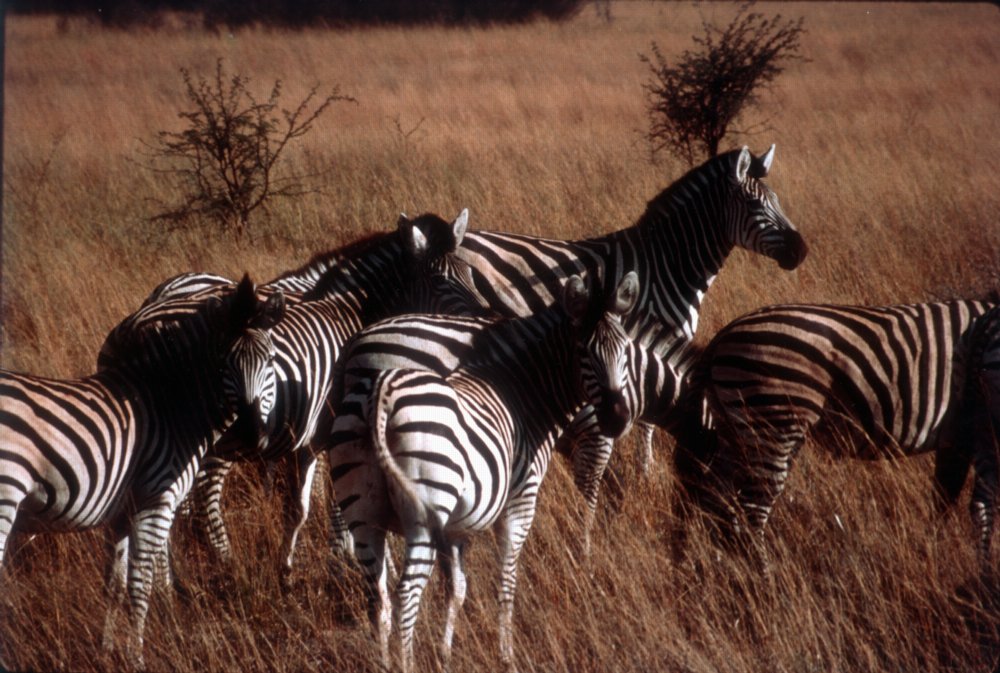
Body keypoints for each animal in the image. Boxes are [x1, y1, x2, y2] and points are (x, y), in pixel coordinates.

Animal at [1, 275, 284, 668]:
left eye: (269, 360)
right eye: (224, 363)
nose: (250, 433)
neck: (171, 406)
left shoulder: (122, 511)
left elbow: (115, 583)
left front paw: (106, 650)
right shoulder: (156, 501)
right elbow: (142, 583)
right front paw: (136, 657)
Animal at [326, 272, 639, 673]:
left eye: (626, 350)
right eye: (585, 352)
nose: (617, 419)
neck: (524, 395)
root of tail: (380, 393)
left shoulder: (457, 527)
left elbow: (457, 588)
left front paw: (446, 654)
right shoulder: (520, 501)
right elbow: (506, 580)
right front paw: (506, 654)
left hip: (364, 512)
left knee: (377, 595)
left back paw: (383, 662)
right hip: (422, 514)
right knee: (405, 594)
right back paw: (406, 664)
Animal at [330, 145, 807, 556]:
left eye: (778, 201)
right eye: (756, 205)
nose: (800, 251)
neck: (665, 267)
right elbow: (641, 433)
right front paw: (642, 479)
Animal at [671, 298, 997, 567]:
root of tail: (723, 334)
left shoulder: (956, 438)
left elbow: (944, 501)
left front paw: (935, 554)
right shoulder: (972, 433)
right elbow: (972, 504)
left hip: (734, 430)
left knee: (712, 498)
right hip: (774, 424)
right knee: (752, 512)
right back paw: (765, 580)